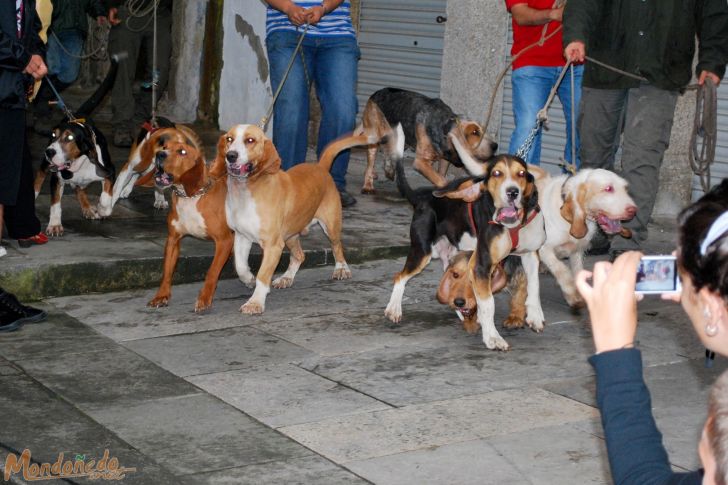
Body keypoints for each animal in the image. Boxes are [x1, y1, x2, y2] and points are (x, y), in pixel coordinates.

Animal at [34, 57, 118, 237]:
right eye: (53, 135)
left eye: (70, 138)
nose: (49, 152)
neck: (78, 164)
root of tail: (78, 115)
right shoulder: (56, 178)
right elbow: (55, 204)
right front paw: (55, 225)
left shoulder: (109, 171)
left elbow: (106, 196)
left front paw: (102, 209)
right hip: (46, 165)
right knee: (39, 176)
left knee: (80, 188)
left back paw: (88, 209)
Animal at [146, 135, 230, 310]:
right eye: (164, 146)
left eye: (182, 152)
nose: (159, 154)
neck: (190, 196)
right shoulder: (172, 240)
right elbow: (167, 271)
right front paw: (161, 296)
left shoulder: (224, 241)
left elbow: (212, 271)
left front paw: (205, 297)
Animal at [222, 125, 378, 314]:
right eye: (229, 139)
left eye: (250, 140)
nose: (230, 155)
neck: (246, 190)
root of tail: (320, 167)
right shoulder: (241, 236)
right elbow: (240, 266)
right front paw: (249, 280)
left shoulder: (273, 245)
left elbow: (263, 275)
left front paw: (256, 302)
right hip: (290, 235)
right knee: (299, 255)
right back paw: (286, 278)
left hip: (330, 226)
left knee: (337, 247)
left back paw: (341, 269)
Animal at [354, 87, 500, 193]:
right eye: (474, 132)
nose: (495, 145)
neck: (443, 125)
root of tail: (374, 94)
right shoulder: (421, 162)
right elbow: (441, 180)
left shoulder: (444, 159)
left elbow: (441, 174)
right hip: (373, 136)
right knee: (371, 160)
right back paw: (368, 185)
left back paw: (386, 171)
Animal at [386, 139, 544, 348]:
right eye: (496, 173)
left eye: (521, 174)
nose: (513, 192)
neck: (512, 225)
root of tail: (422, 196)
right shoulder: (482, 265)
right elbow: (488, 303)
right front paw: (492, 337)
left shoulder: (530, 255)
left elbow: (533, 284)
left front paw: (535, 315)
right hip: (423, 252)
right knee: (400, 276)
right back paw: (394, 308)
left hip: (454, 257)